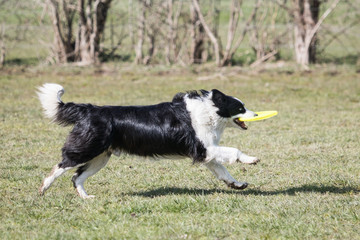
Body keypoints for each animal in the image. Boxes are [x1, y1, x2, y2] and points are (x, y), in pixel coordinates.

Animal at [38, 83, 258, 198]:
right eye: (240, 108)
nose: (256, 114)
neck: (209, 110)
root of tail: (89, 110)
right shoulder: (202, 148)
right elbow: (234, 151)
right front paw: (251, 159)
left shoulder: (207, 152)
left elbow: (223, 171)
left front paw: (237, 184)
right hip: (86, 149)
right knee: (61, 166)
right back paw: (43, 188)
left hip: (100, 157)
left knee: (77, 177)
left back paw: (86, 198)